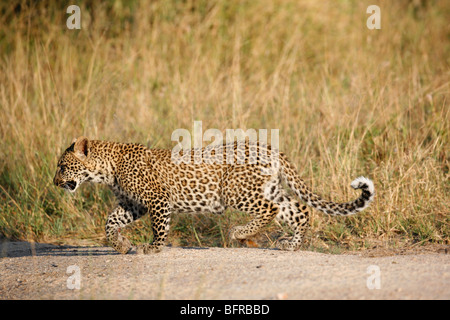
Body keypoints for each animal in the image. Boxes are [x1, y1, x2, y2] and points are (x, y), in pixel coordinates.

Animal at [53, 136, 376, 254]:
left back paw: (240, 233)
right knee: (299, 210)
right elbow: (110, 223)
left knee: (271, 210)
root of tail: (269, 147)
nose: (55, 182)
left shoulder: (157, 200)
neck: (107, 168)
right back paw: (290, 245)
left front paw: (153, 248)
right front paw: (120, 244)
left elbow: (159, 228)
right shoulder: (134, 205)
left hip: (237, 190)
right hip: (268, 188)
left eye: (63, 166)